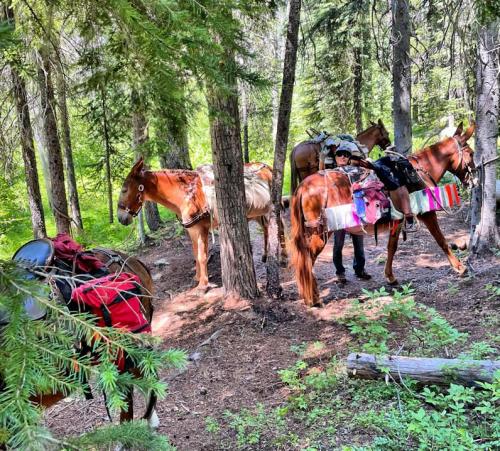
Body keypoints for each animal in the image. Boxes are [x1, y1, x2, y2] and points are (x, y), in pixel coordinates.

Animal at [114, 159, 284, 294]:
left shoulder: (202, 229)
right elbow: (196, 254)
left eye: (124, 189)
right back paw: (265, 255)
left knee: (279, 228)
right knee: (267, 230)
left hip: (271, 210)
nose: (121, 218)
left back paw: (282, 255)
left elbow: (202, 256)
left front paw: (203, 286)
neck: (187, 193)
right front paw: (198, 277)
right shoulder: (192, 230)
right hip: (257, 213)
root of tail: (267, 167)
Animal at [290, 122, 476, 308]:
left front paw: (390, 277)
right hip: (321, 232)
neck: (420, 171)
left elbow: (391, 247)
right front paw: (460, 267)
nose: (473, 181)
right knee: (307, 259)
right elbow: (441, 240)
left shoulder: (398, 220)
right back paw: (313, 298)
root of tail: (303, 186)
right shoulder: (427, 213)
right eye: (471, 153)